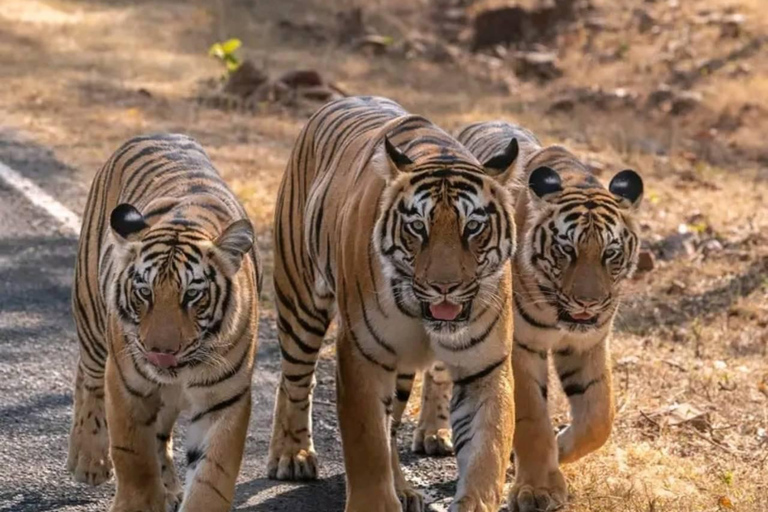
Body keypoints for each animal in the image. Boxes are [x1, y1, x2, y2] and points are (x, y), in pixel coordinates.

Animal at [66, 133, 260, 512]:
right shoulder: (127, 385)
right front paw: (138, 503)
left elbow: (212, 474)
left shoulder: (224, 400)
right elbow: (133, 456)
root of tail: (158, 133)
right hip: (92, 319)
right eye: (145, 292)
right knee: (88, 379)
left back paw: (168, 487)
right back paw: (88, 460)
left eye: (193, 295)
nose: (161, 352)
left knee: (159, 432)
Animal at [268, 97, 520, 512]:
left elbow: (488, 450)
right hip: (300, 304)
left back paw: (402, 489)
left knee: (392, 423)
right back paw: (291, 455)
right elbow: (368, 442)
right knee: (295, 381)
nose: (444, 287)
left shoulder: (484, 366)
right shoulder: (362, 356)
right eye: (418, 227)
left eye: (472, 227)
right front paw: (374, 501)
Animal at [414, 121, 640, 512]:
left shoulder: (588, 344)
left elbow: (599, 417)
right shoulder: (519, 345)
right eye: (566, 250)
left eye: (610, 253)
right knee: (438, 372)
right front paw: (538, 489)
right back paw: (433, 433)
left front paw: (560, 449)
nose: (588, 303)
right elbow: (533, 417)